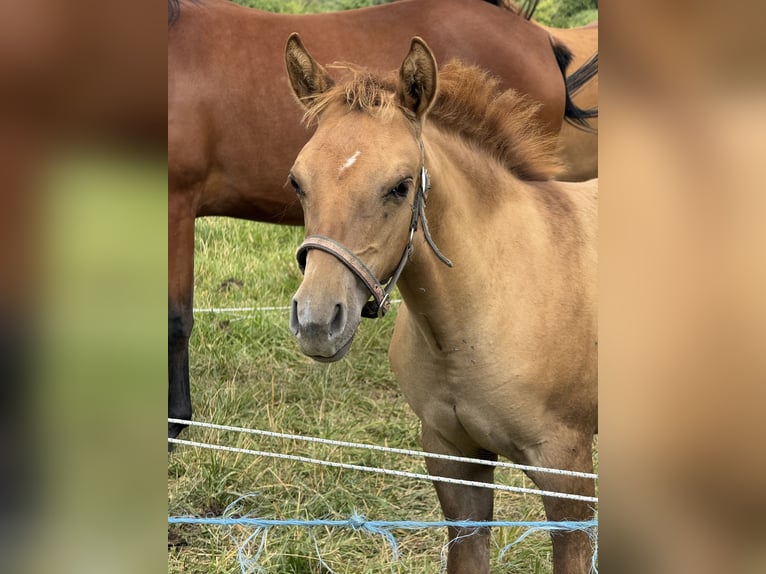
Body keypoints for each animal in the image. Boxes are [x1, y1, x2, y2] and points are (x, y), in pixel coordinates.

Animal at [168, 0, 597, 441]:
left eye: (401, 186)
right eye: (295, 182)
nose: (315, 322)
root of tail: (538, 37)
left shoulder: (177, 201)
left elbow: (176, 318)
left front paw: (176, 420)